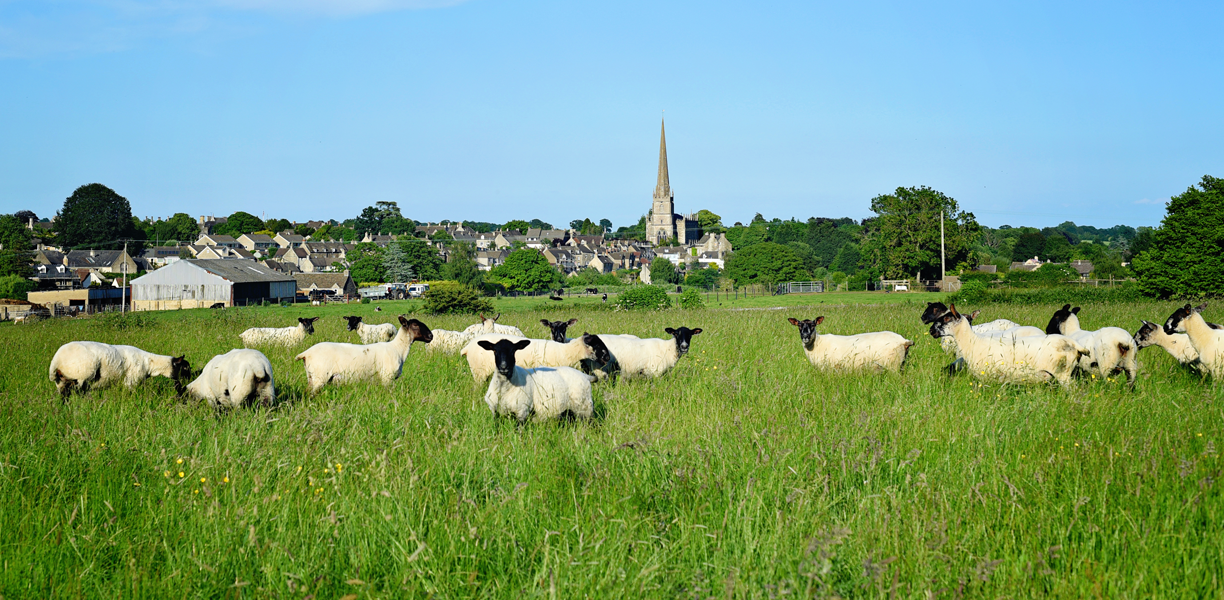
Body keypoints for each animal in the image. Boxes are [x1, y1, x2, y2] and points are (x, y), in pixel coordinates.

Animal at [49, 342, 190, 399]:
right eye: (185, 367)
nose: (186, 383)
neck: (150, 363)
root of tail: (57, 360)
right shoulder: (131, 381)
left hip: (62, 383)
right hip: (80, 378)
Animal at [293, 313, 433, 394]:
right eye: (415, 325)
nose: (431, 336)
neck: (397, 348)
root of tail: (306, 353)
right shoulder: (387, 378)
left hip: (311, 376)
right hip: (320, 377)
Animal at [930, 302, 1086, 386]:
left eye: (947, 318)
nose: (931, 330)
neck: (972, 342)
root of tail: (1074, 344)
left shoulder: (987, 376)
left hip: (1063, 374)